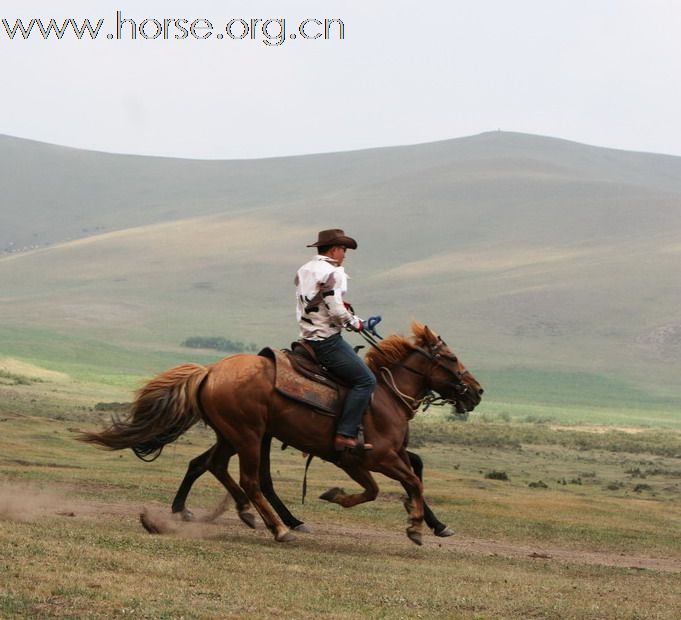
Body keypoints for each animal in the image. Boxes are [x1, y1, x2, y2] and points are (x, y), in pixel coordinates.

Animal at [170, 432, 456, 536]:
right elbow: (412, 473)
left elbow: (414, 469)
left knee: (202, 463)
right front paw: (430, 520)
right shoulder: (382, 452)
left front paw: (424, 516)